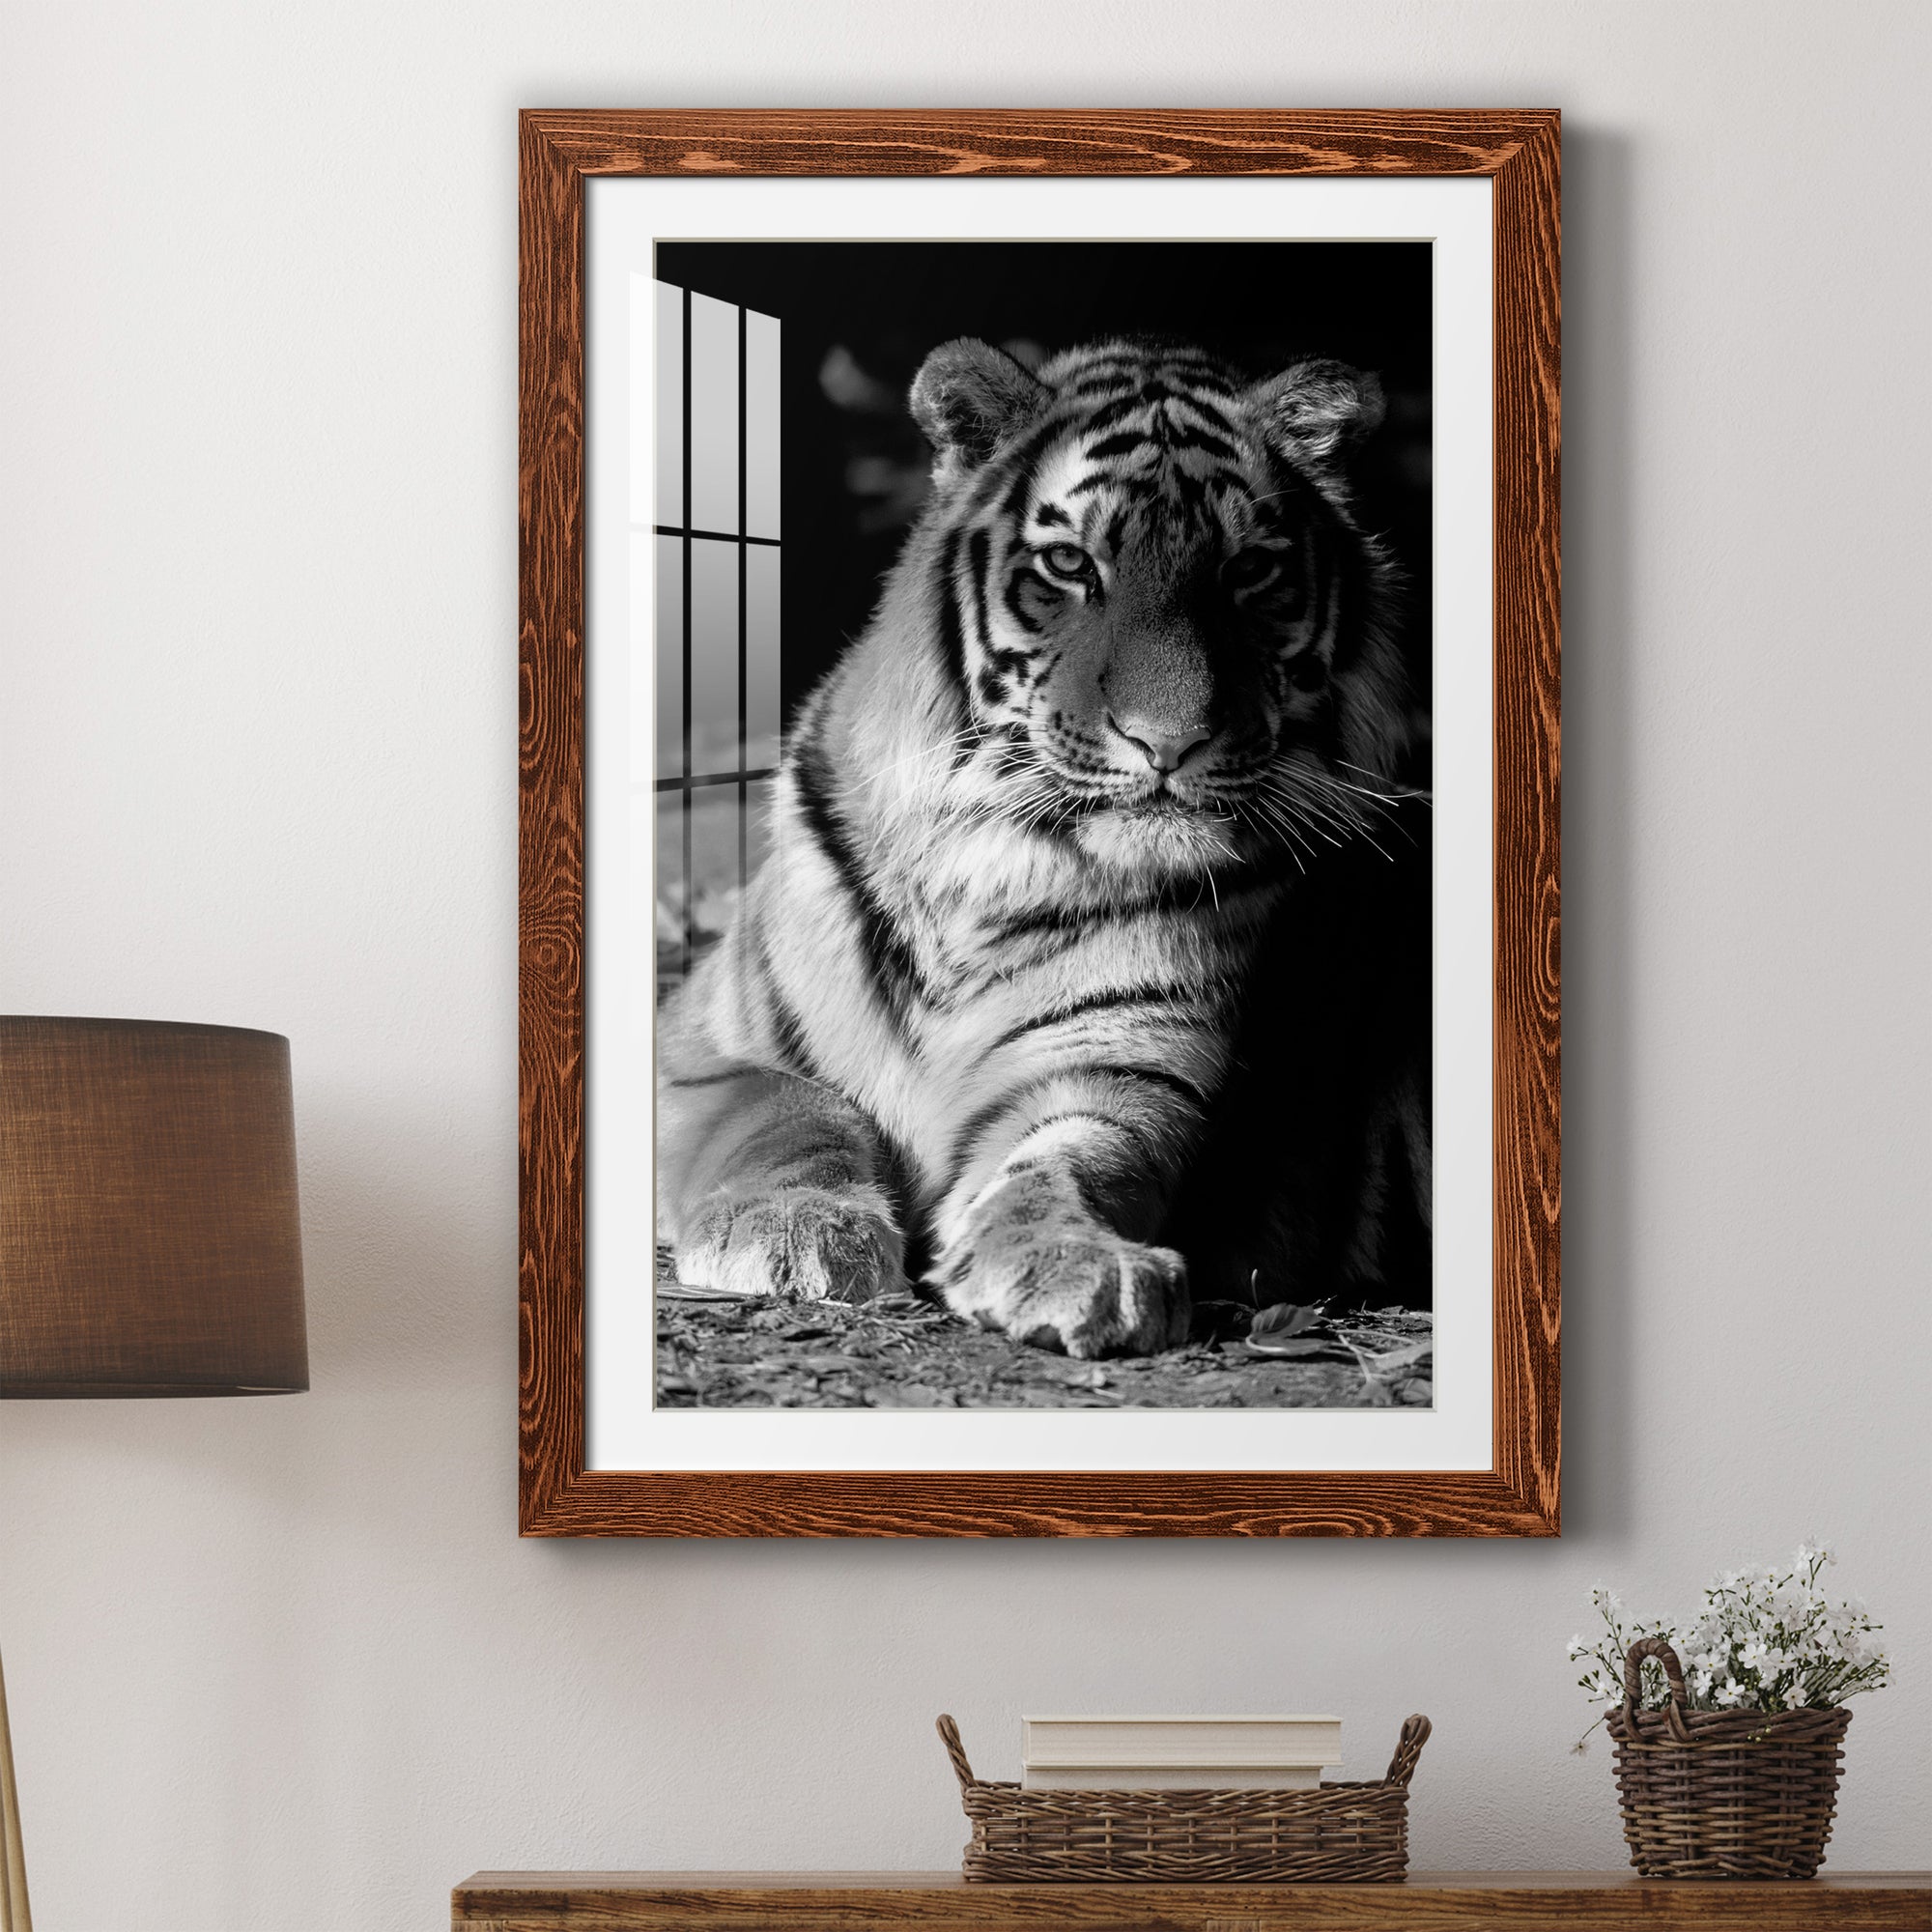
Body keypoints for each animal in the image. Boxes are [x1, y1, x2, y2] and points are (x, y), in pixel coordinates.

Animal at [655, 334, 1430, 1361]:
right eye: (1069, 564)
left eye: (1248, 572)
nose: (1169, 742)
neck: (989, 866)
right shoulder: (700, 1046)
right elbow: (789, 1112)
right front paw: (793, 1231)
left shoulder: (1118, 1068)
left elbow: (1069, 1163)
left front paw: (1077, 1263)